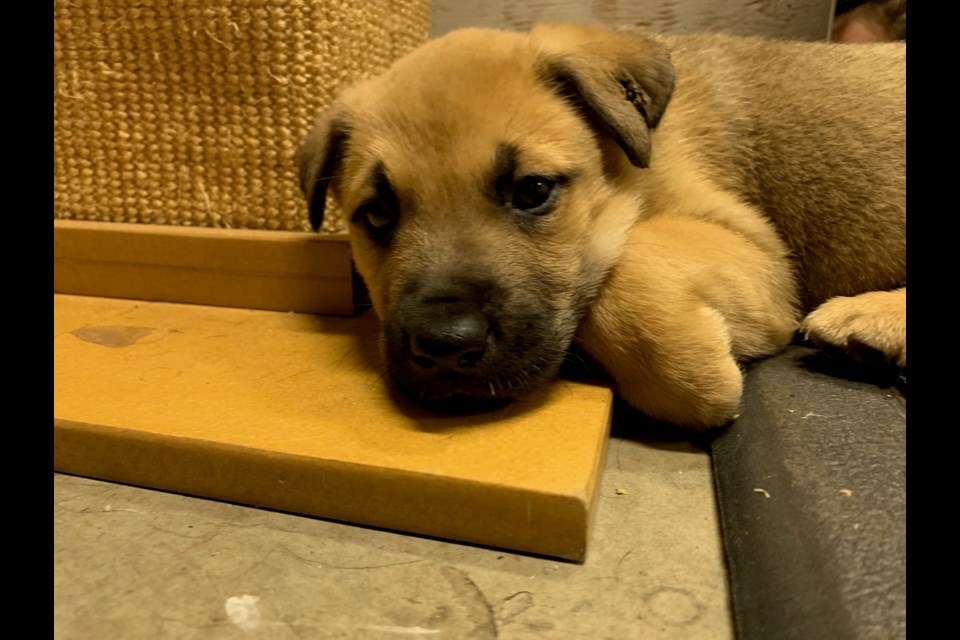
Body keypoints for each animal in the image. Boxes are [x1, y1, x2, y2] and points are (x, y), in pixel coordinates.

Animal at [296, 22, 904, 428]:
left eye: (533, 191)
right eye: (377, 214)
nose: (443, 348)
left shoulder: (753, 245)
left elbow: (624, 265)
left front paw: (696, 376)